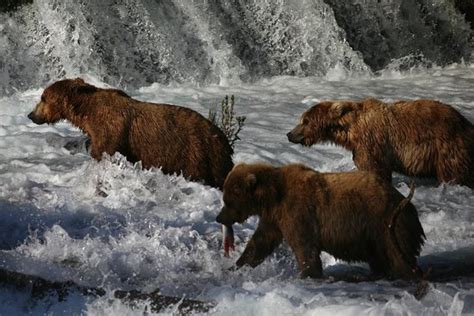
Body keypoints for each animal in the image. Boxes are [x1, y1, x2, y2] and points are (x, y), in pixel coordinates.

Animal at [217, 163, 428, 278]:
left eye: (227, 200)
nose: (219, 217)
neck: (272, 196)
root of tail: (406, 203)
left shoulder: (297, 212)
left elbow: (304, 247)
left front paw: (309, 273)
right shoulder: (274, 218)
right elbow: (260, 244)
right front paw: (236, 266)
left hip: (387, 226)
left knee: (398, 257)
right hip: (375, 237)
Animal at [286, 99, 472, 188]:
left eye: (305, 121)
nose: (289, 134)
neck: (350, 131)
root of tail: (466, 122)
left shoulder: (371, 143)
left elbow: (374, 167)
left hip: (447, 146)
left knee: (452, 172)